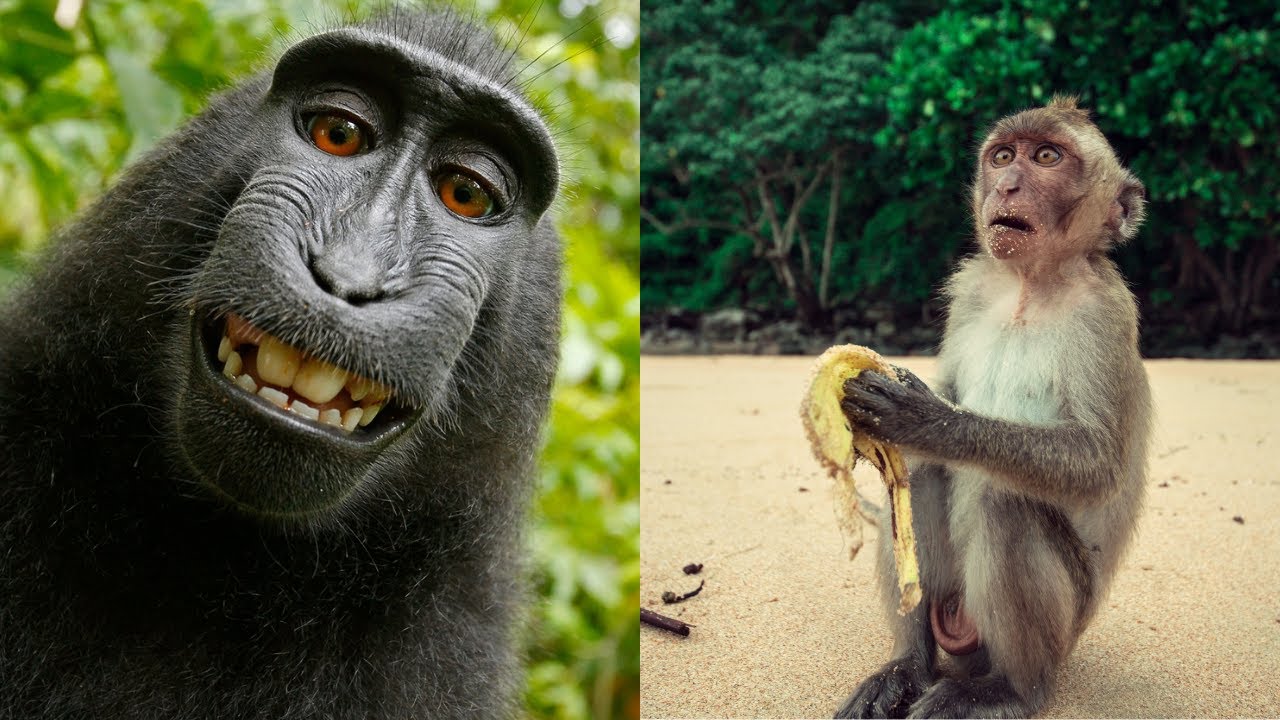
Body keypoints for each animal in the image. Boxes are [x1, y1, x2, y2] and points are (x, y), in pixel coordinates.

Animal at [834, 96, 1151, 719]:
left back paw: (1008, 689)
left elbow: (1098, 464)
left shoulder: (1106, 314)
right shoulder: (971, 289)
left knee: (1007, 504)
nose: (1006, 186)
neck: (1031, 285)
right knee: (918, 478)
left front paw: (925, 421)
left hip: (1062, 628)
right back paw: (910, 666)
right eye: (1003, 156)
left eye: (1047, 157)